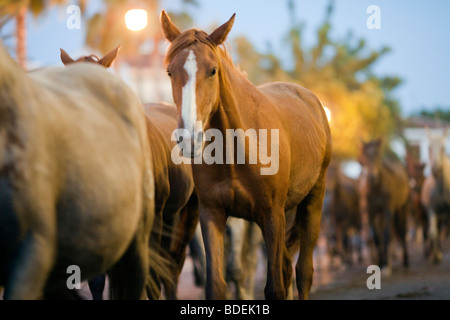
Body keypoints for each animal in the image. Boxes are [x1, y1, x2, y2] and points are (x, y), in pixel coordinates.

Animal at [161, 10, 330, 300]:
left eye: (213, 71)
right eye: (171, 71)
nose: (189, 138)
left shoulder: (272, 216)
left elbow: (274, 287)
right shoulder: (212, 215)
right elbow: (217, 285)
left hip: (313, 201)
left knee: (303, 272)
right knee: (287, 267)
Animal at [358, 139, 412, 274]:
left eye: (377, 154)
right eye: (365, 156)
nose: (372, 177)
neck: (377, 188)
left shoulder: (387, 209)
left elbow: (387, 234)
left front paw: (386, 266)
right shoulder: (370, 212)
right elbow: (377, 237)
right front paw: (381, 263)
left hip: (401, 208)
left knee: (402, 231)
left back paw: (405, 261)